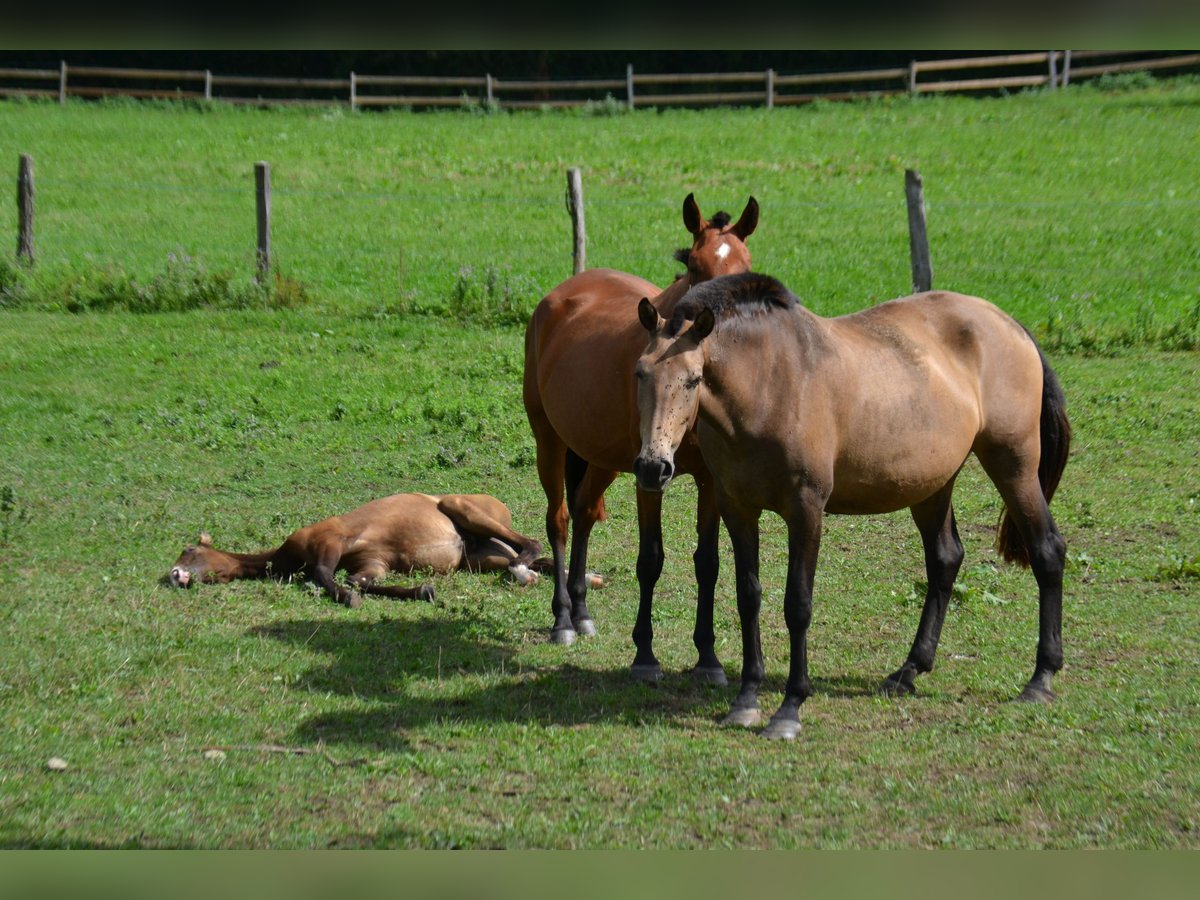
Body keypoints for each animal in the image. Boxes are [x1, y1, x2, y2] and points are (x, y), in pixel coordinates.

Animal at [520, 192, 753, 681]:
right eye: (695, 266)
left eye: (745, 268)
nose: (712, 331)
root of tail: (561, 294)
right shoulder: (649, 478)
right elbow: (651, 560)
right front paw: (644, 655)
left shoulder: (710, 482)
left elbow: (708, 564)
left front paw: (708, 658)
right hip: (549, 442)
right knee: (560, 519)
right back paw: (563, 619)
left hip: (602, 459)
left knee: (585, 511)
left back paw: (582, 613)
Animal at [633, 274, 1075, 739]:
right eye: (640, 372)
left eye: (693, 379)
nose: (653, 467)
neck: (769, 385)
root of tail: (1010, 325)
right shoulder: (737, 508)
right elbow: (747, 598)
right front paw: (746, 698)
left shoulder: (806, 510)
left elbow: (798, 605)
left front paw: (790, 707)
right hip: (932, 485)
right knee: (945, 559)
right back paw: (908, 671)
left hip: (1014, 466)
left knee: (1047, 551)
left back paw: (1041, 678)